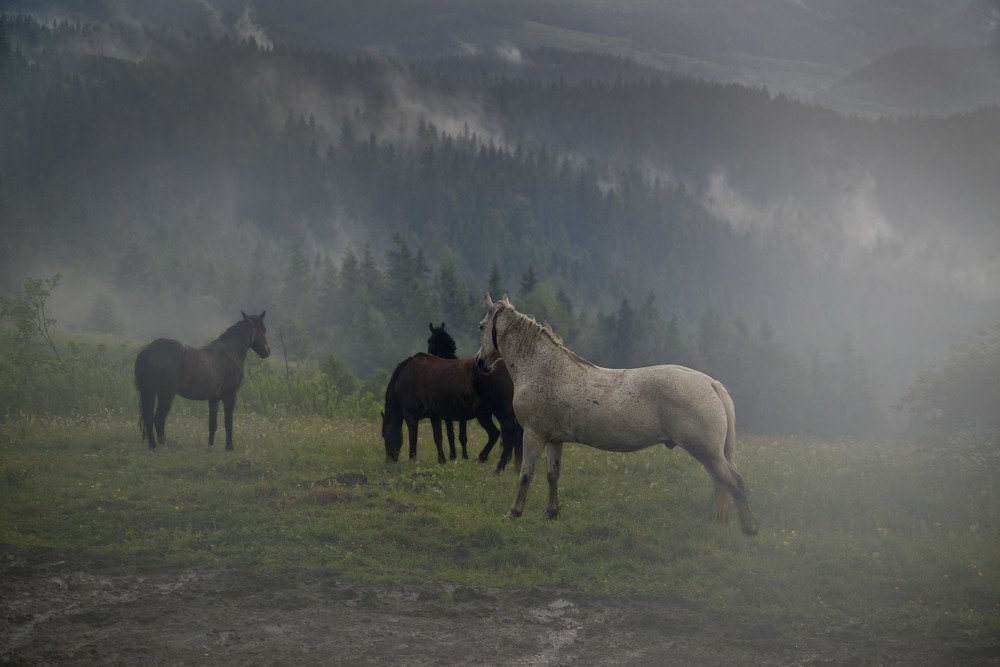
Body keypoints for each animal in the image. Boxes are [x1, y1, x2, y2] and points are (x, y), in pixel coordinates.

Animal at [134, 311, 270, 450]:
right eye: (263, 330)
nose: (267, 351)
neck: (230, 352)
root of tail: (148, 350)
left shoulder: (213, 399)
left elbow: (213, 425)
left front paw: (210, 447)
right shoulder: (230, 396)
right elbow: (228, 423)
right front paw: (229, 447)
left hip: (150, 392)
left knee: (150, 419)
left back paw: (155, 446)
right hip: (165, 394)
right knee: (158, 419)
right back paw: (161, 446)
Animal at [427, 322, 523, 471]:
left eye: (429, 341)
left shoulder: (449, 415)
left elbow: (453, 434)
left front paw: (454, 456)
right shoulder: (460, 416)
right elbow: (460, 435)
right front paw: (462, 456)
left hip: (494, 413)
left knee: (504, 434)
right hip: (485, 415)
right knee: (500, 434)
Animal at [475, 294, 759, 535]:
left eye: (480, 326)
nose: (480, 362)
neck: (543, 368)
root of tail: (710, 383)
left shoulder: (533, 434)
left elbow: (525, 475)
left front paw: (514, 513)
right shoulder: (555, 440)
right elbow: (552, 476)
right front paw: (550, 513)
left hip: (708, 453)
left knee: (736, 481)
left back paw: (749, 529)